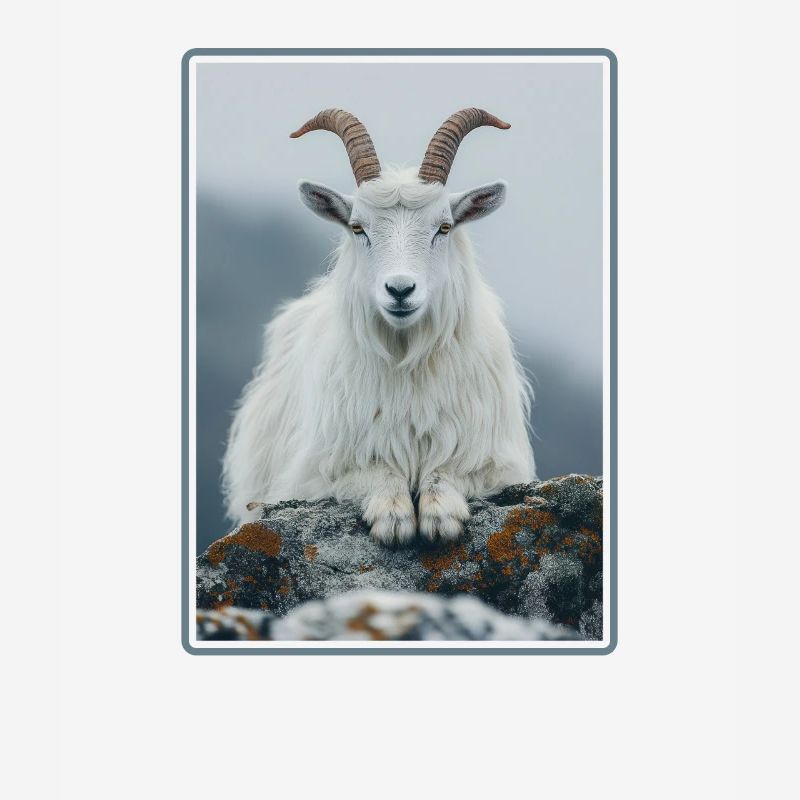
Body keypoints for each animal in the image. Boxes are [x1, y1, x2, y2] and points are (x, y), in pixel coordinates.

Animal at [223, 108, 536, 543]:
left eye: (444, 227)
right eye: (358, 227)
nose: (400, 290)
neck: (406, 362)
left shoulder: (495, 460)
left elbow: (449, 471)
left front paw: (441, 514)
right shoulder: (317, 469)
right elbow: (374, 471)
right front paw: (393, 516)